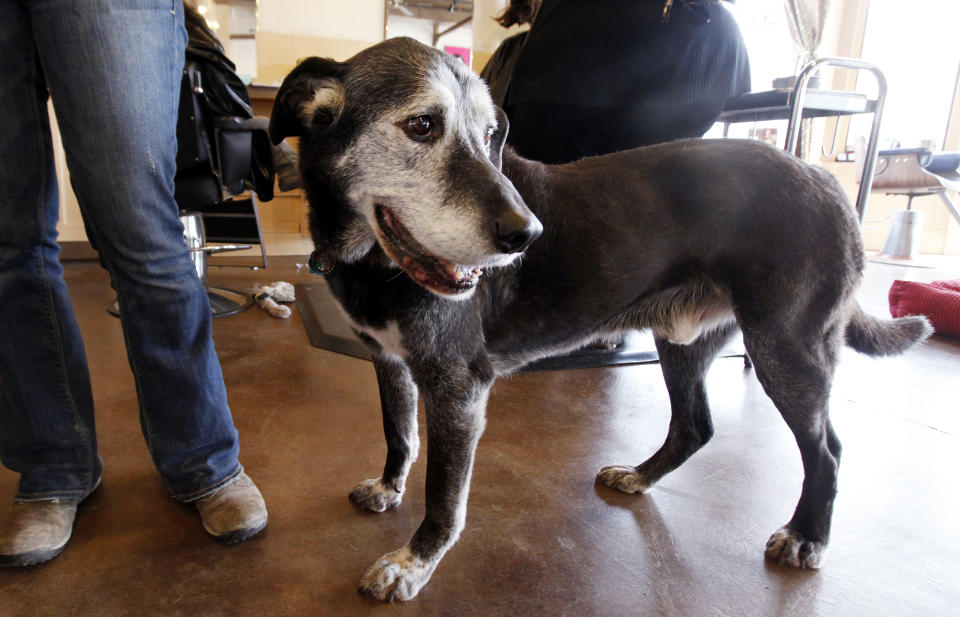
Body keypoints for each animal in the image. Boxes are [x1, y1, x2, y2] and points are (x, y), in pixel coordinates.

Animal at [268, 36, 928, 600]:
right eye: (421, 125)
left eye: (490, 135)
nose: (528, 235)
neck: (372, 261)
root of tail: (824, 178)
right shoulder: (389, 359)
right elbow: (399, 433)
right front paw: (388, 487)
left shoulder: (458, 387)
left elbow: (444, 496)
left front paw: (413, 564)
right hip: (683, 341)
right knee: (696, 426)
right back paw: (640, 477)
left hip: (786, 348)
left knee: (828, 450)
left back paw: (808, 536)